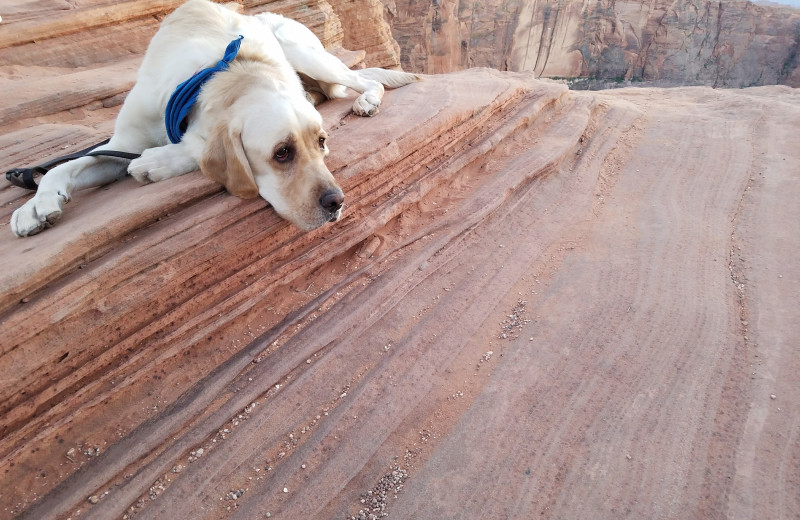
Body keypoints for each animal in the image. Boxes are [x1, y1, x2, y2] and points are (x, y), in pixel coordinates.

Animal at [12, 0, 418, 236]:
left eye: (321, 143)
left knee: (363, 79)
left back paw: (367, 99)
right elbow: (64, 166)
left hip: (306, 53)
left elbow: (195, 148)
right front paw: (35, 206)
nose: (338, 202)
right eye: (282, 152)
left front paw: (157, 162)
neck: (226, 74)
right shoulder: (122, 142)